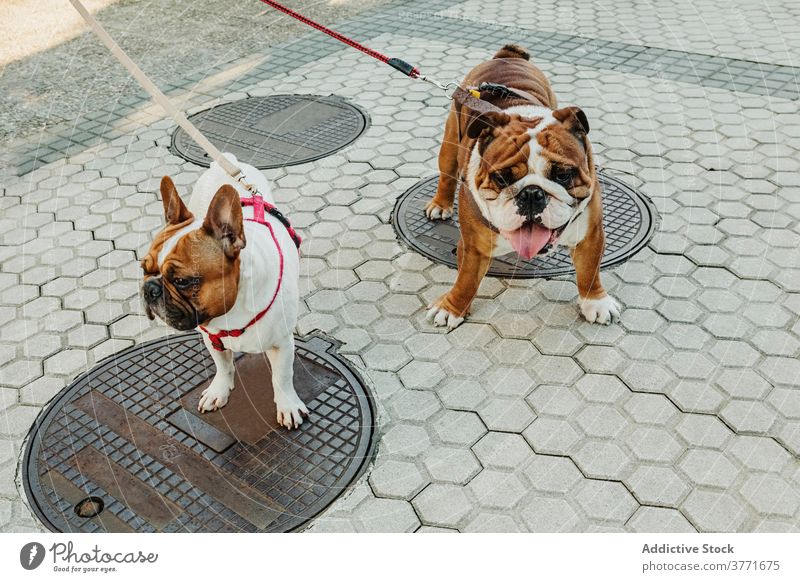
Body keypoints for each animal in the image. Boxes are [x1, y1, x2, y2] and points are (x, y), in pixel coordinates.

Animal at [422, 44, 620, 330]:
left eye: (563, 174)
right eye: (502, 178)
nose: (532, 194)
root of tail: (506, 56)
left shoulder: (590, 234)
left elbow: (590, 271)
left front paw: (596, 302)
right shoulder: (473, 246)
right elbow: (466, 280)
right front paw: (452, 308)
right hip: (450, 143)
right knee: (446, 175)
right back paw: (440, 204)